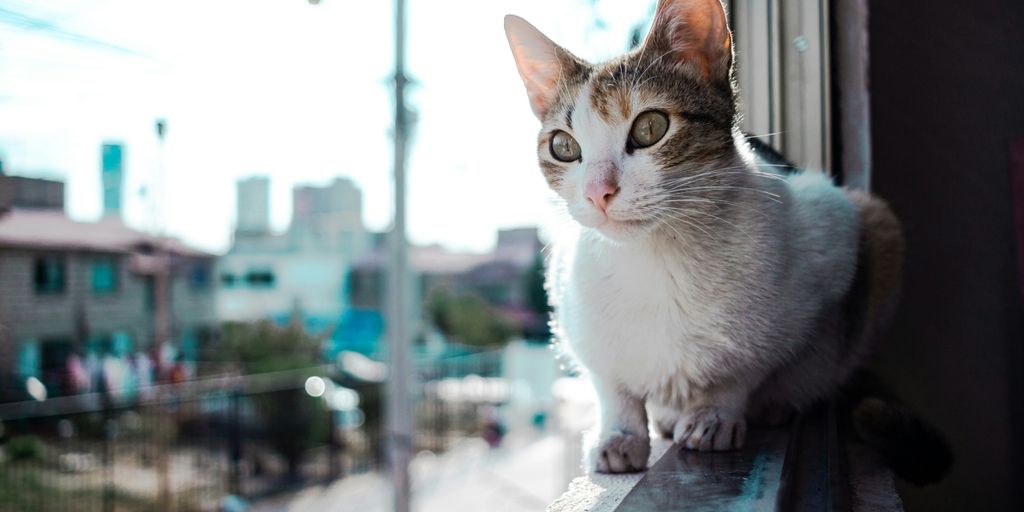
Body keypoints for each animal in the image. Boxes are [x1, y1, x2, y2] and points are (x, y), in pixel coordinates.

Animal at [503, 0, 913, 473]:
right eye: (564, 146)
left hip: (879, 223)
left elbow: (748, 365)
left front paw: (715, 413)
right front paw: (619, 432)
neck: (654, 260)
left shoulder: (830, 235)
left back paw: (776, 405)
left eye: (650, 128)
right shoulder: (574, 311)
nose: (596, 192)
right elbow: (611, 383)